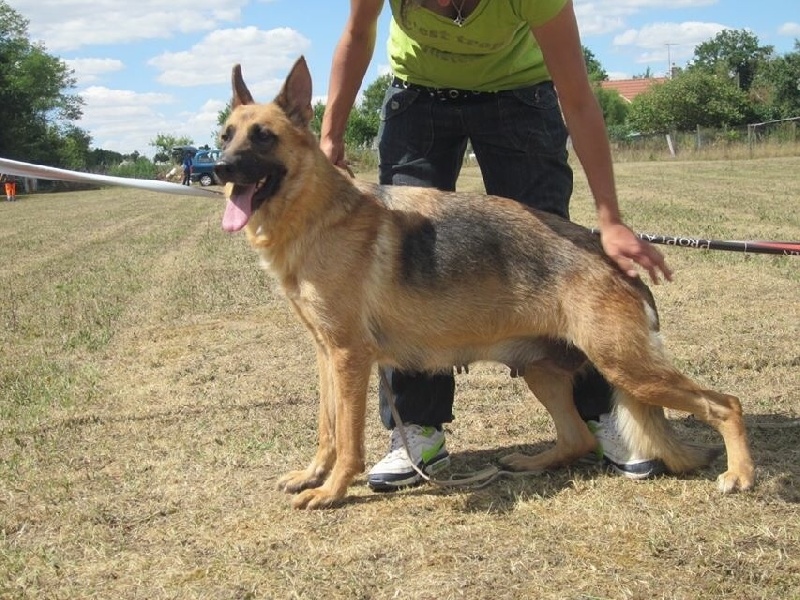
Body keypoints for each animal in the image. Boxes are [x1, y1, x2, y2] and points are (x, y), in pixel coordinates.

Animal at [211, 56, 752, 508]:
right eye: (226, 135)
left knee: (726, 403)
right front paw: (312, 475)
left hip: (625, 366)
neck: (318, 215)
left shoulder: (349, 359)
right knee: (576, 438)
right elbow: (327, 429)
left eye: (263, 137)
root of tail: (619, 265)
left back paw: (740, 474)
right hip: (544, 370)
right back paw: (529, 462)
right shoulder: (327, 356)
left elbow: (347, 439)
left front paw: (332, 492)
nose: (218, 168)